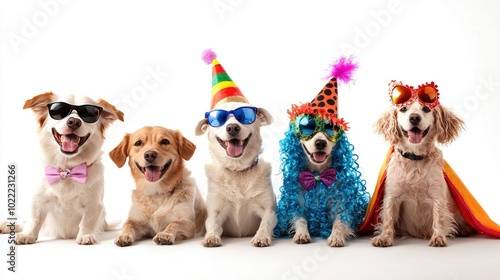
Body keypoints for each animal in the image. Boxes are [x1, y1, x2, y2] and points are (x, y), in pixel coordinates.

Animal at [2, 91, 123, 244]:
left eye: (90, 113)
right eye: (59, 111)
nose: (74, 122)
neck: (67, 169)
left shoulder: (94, 205)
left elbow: (87, 222)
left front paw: (85, 235)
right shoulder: (38, 200)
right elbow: (35, 219)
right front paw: (28, 235)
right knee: (25, 222)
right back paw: (9, 225)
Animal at [193, 101, 278, 246]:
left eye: (245, 116)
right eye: (218, 119)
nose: (232, 127)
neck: (237, 171)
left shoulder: (269, 210)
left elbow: (265, 223)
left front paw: (261, 236)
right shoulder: (215, 212)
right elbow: (213, 224)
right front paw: (211, 237)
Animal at [274, 57, 372, 247]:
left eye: (330, 128)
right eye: (307, 127)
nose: (320, 143)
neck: (318, 175)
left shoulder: (339, 203)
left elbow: (340, 222)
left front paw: (336, 236)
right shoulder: (297, 202)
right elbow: (300, 219)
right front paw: (302, 233)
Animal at [372, 81, 476, 247]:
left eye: (426, 109)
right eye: (403, 109)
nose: (414, 117)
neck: (415, 159)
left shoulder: (437, 195)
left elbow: (439, 217)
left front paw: (438, 237)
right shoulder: (392, 195)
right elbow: (388, 217)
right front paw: (384, 237)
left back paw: (464, 229)